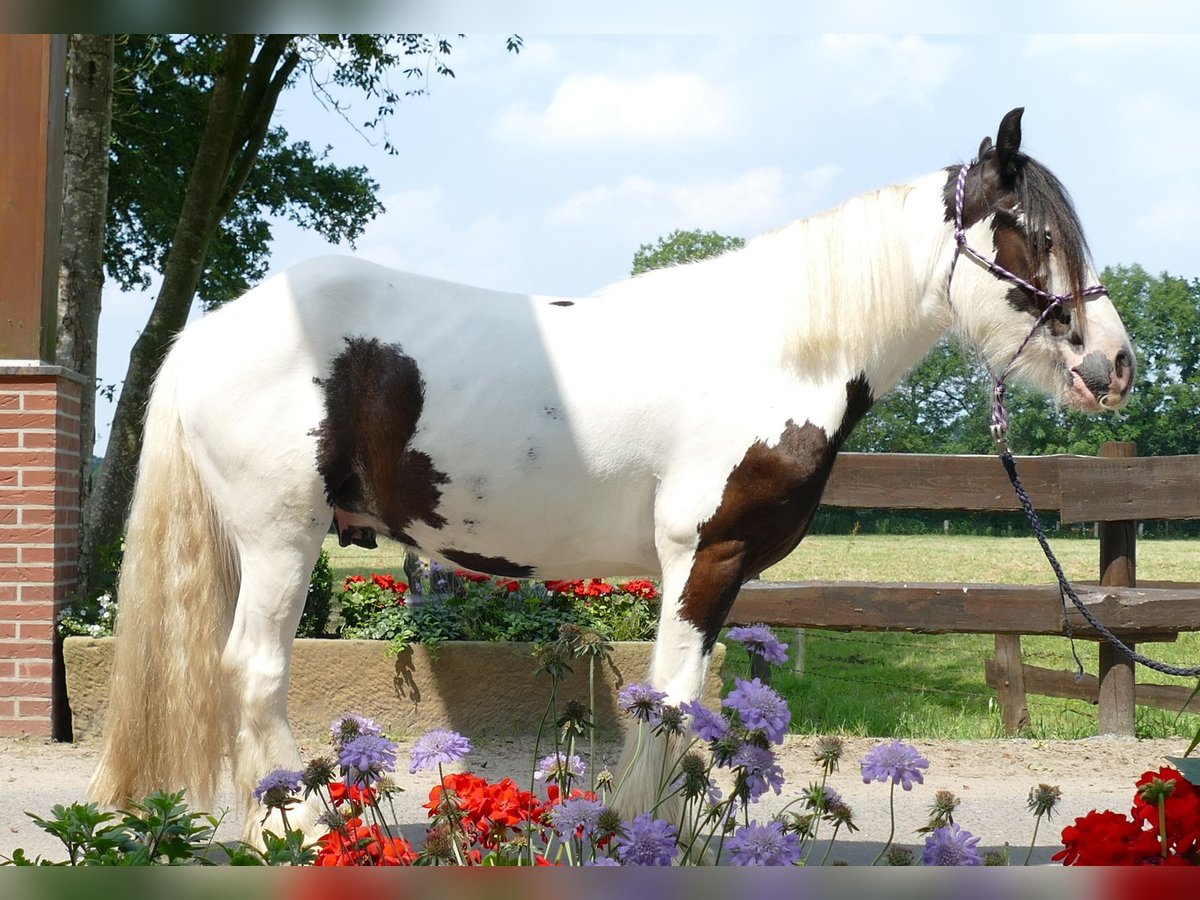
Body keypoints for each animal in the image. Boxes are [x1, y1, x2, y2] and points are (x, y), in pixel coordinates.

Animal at [91, 109, 1132, 844]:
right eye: (1028, 233)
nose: (1114, 365)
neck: (775, 350)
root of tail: (214, 329)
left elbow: (683, 704)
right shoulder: (704, 556)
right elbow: (669, 702)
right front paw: (642, 828)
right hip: (280, 539)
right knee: (253, 670)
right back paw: (305, 826)